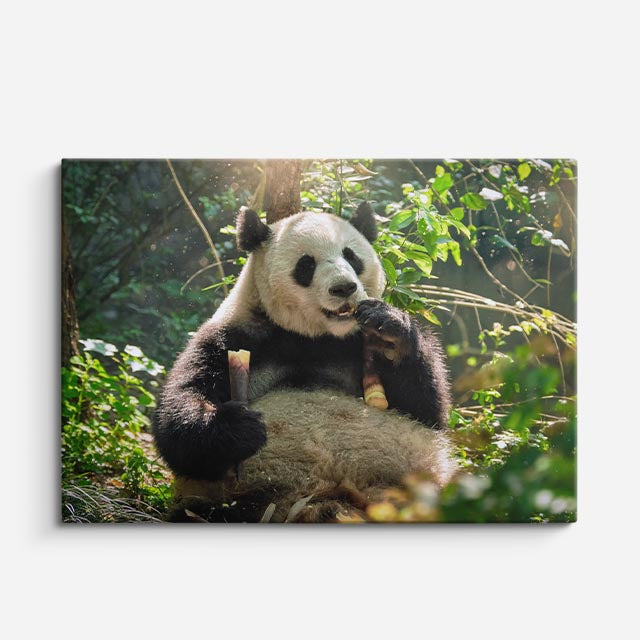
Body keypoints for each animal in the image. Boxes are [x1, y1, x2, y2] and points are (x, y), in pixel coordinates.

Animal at [153, 202, 456, 522]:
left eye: (351, 256)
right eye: (306, 264)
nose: (344, 288)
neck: (314, 337)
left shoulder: (354, 346)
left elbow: (425, 409)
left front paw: (389, 333)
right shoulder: (232, 338)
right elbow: (178, 416)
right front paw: (241, 427)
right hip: (240, 499)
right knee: (208, 512)